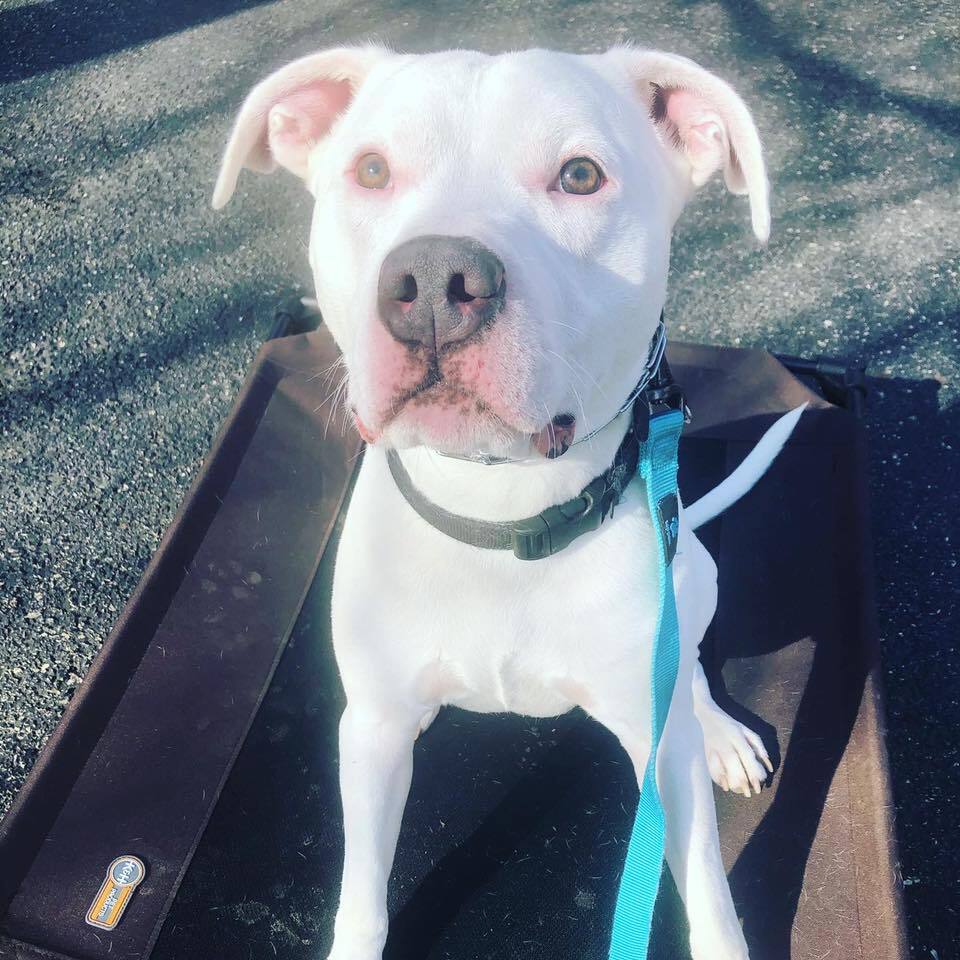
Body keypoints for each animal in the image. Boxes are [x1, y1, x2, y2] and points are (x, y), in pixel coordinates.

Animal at [216, 45, 796, 960]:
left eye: (581, 174)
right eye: (370, 169)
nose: (432, 281)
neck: (499, 515)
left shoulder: (657, 755)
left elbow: (709, 893)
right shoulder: (373, 731)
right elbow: (363, 896)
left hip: (694, 578)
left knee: (693, 665)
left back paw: (719, 731)